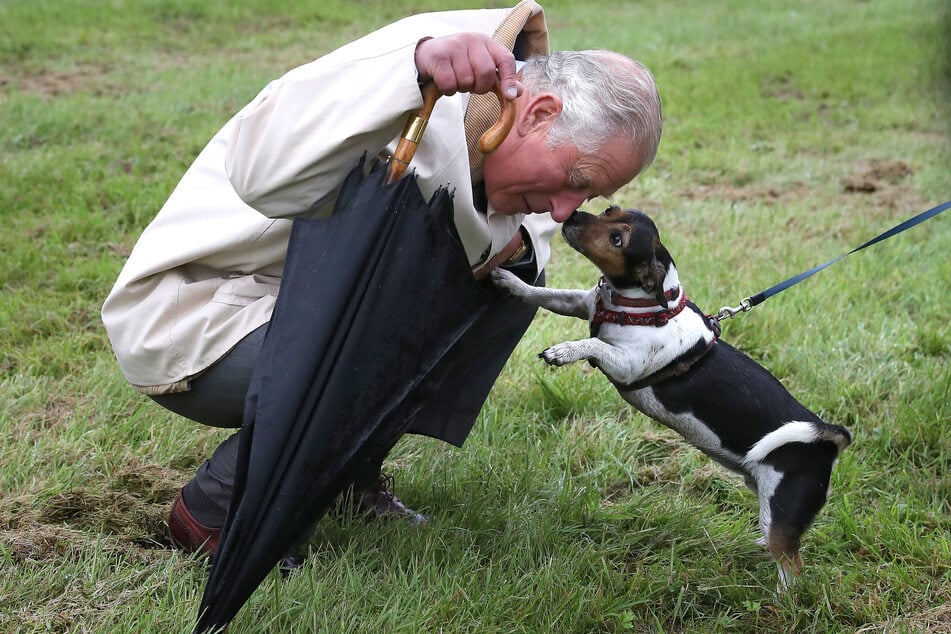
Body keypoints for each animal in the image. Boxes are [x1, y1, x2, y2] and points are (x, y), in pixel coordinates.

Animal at [494, 206, 852, 588]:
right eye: (610, 210)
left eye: (617, 239)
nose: (572, 215)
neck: (639, 305)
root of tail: (828, 437)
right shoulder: (577, 302)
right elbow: (544, 295)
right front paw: (510, 281)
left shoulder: (626, 364)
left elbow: (593, 343)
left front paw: (564, 351)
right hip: (766, 498)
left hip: (783, 512)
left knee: (792, 563)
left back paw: (780, 597)